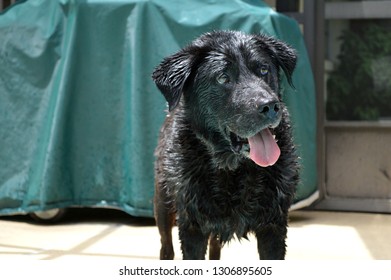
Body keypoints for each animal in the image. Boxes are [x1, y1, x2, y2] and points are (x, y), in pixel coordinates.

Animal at [153, 29, 300, 260]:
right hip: (163, 204)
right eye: (223, 78)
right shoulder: (192, 226)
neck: (232, 170)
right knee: (166, 246)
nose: (270, 106)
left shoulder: (274, 226)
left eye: (264, 70)